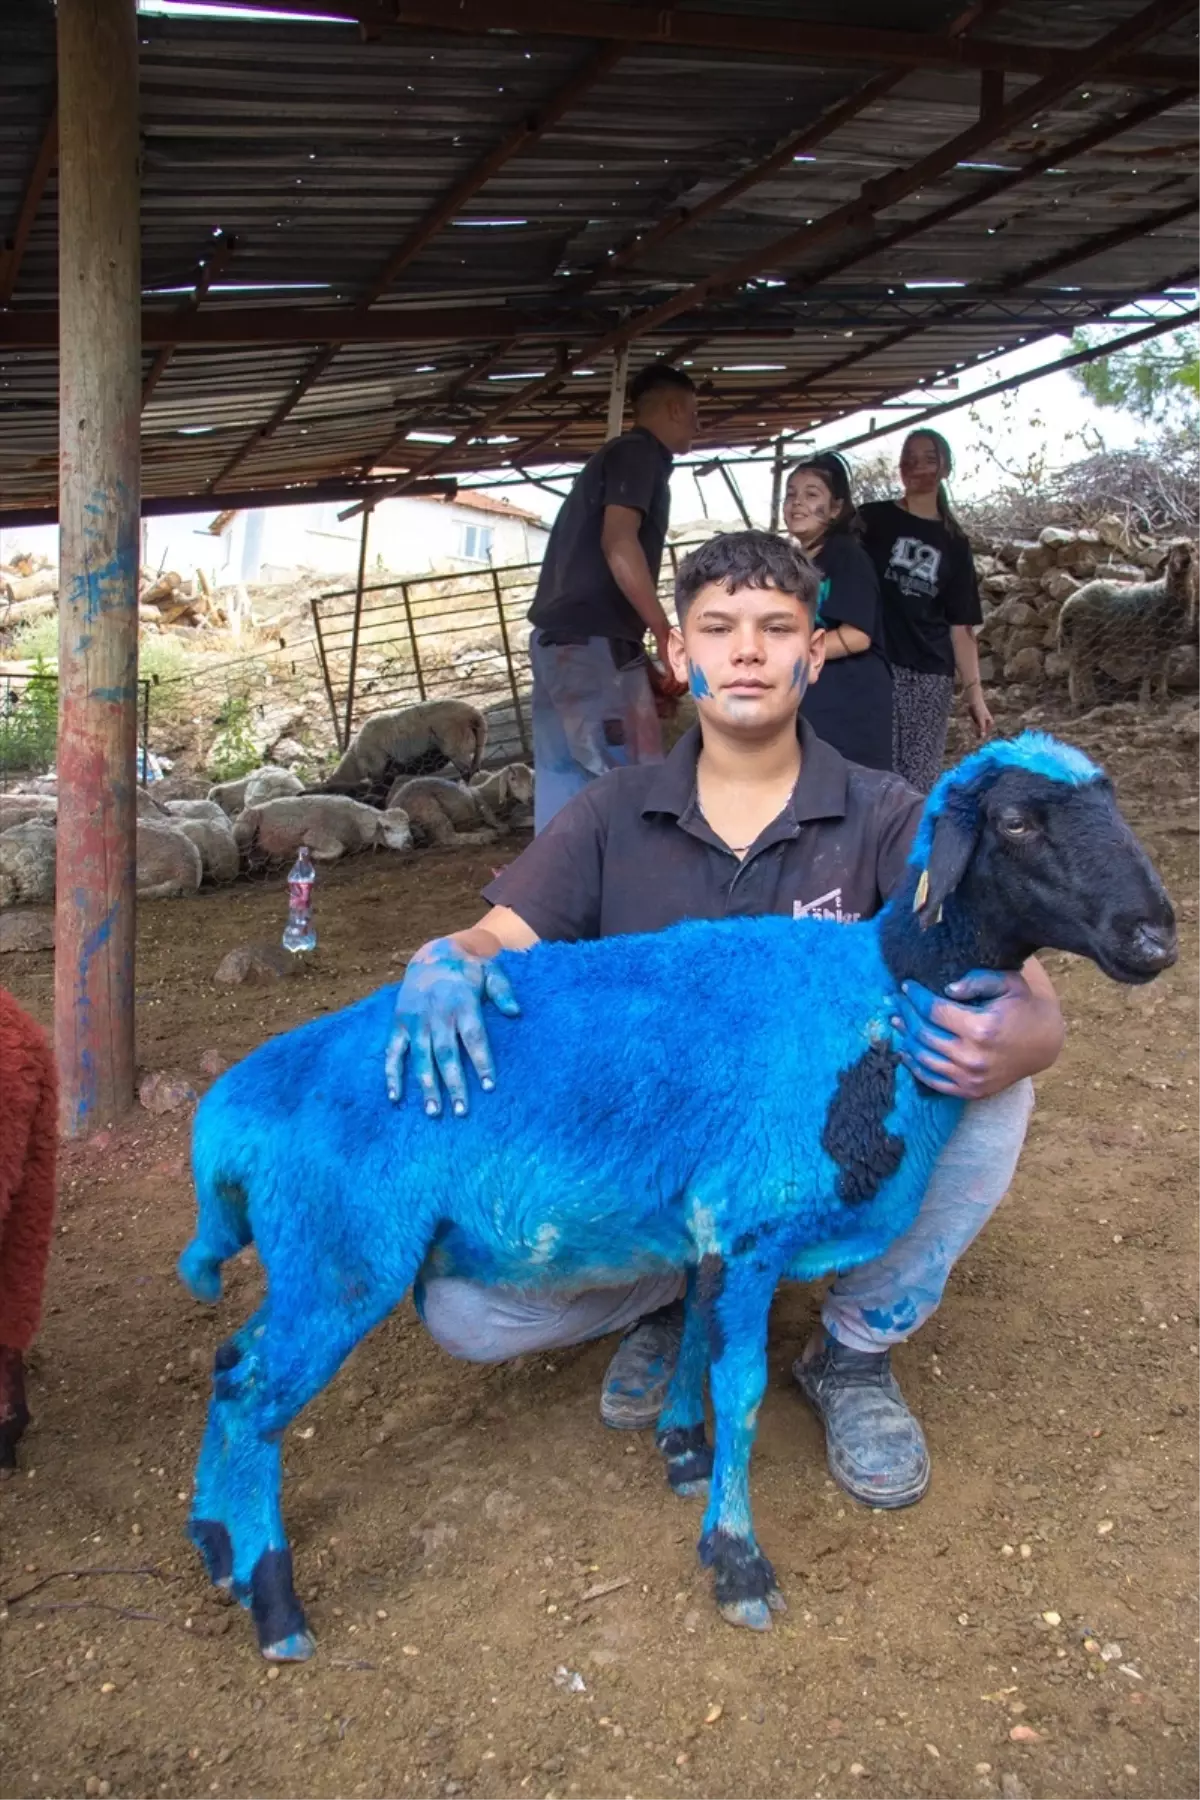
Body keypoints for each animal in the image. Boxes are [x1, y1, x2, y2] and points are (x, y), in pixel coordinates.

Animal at [183, 730, 1180, 1656]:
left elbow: (698, 1334)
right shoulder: (752, 1222)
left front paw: (681, 1448)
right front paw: (736, 1561)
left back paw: (214, 1545)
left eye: (1111, 801)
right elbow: (740, 1384)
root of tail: (227, 1118)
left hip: (316, 1256)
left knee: (231, 1363)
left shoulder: (713, 1226)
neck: (875, 993)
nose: (1155, 939)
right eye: (1016, 823)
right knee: (257, 1397)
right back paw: (274, 1604)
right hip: (343, 1254)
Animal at [1057, 532, 1194, 709]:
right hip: (1083, 637)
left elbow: (1162, 671)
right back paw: (1078, 700)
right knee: (1077, 668)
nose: (1182, 562)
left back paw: (1092, 700)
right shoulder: (1149, 639)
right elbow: (1148, 671)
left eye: (1192, 549)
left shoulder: (1167, 643)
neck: (1165, 593)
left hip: (1096, 642)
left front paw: (1163, 697)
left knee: (1085, 669)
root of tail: (1067, 604)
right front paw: (1145, 699)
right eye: (1171, 551)